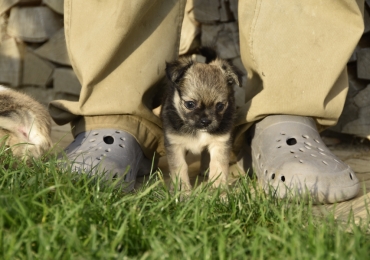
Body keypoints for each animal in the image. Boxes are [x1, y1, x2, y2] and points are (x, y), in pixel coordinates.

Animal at [160, 47, 238, 191]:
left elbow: (218, 166)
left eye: (220, 106)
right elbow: (180, 167)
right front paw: (182, 190)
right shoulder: (175, 145)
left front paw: (218, 189)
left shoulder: (219, 142)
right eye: (190, 104)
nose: (206, 121)